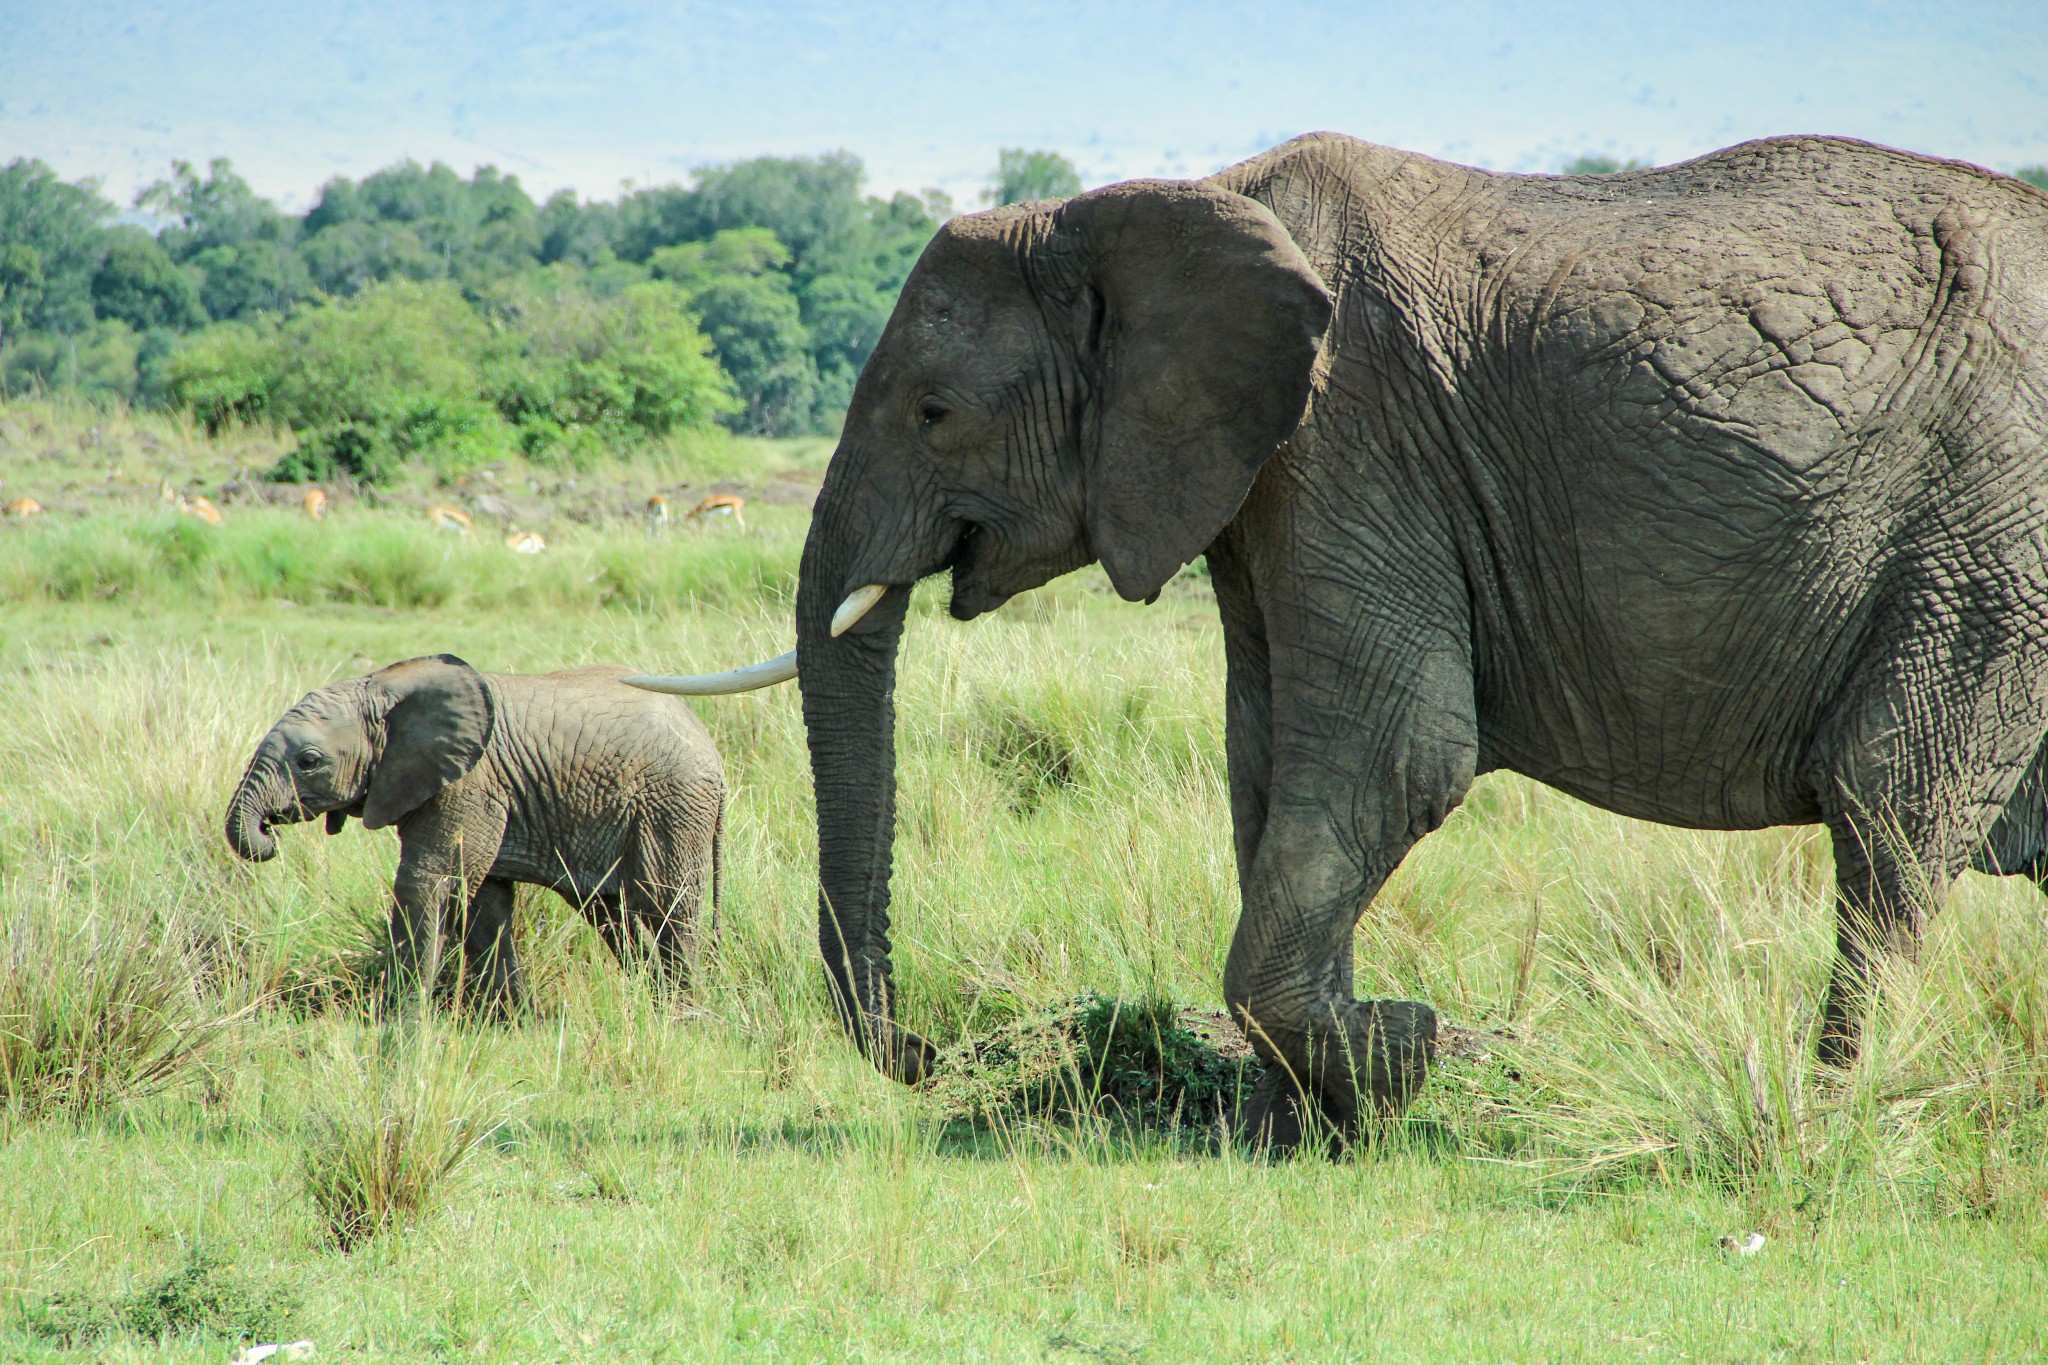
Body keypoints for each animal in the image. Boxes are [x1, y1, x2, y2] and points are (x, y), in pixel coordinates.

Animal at [230, 654, 729, 1010]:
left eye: (309, 761)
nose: (268, 832)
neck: (382, 687)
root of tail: (710, 746)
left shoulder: (469, 786)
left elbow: (425, 884)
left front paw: (400, 1027)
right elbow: (484, 905)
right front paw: (518, 1025)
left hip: (673, 806)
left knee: (668, 908)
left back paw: (686, 1016)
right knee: (612, 912)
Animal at [630, 136, 2039, 1146]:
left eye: (933, 412)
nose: (924, 1056)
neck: (1159, 206)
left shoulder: (1353, 438)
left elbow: (1391, 763)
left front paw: (1401, 1053)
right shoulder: (1263, 481)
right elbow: (1267, 777)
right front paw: (1287, 1129)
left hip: (1981, 557)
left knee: (1890, 813)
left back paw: (1831, 1123)